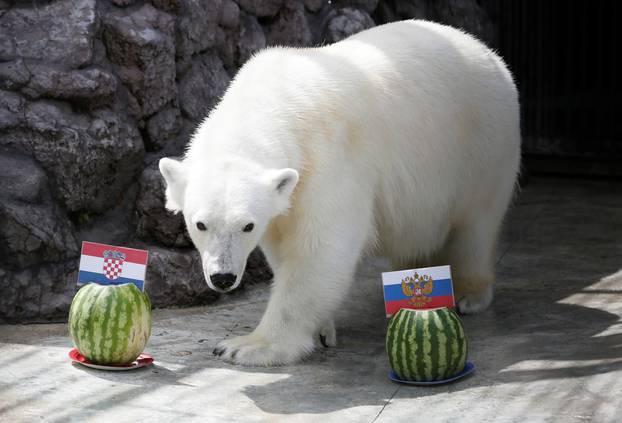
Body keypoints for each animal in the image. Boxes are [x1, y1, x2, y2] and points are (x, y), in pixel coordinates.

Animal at [160, 19, 520, 366]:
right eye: (200, 224)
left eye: (247, 225)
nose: (223, 277)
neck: (273, 101)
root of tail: (488, 53)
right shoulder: (287, 195)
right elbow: (284, 246)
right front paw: (322, 329)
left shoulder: (329, 161)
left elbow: (320, 249)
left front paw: (249, 346)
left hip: (482, 145)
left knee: (475, 226)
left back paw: (469, 294)